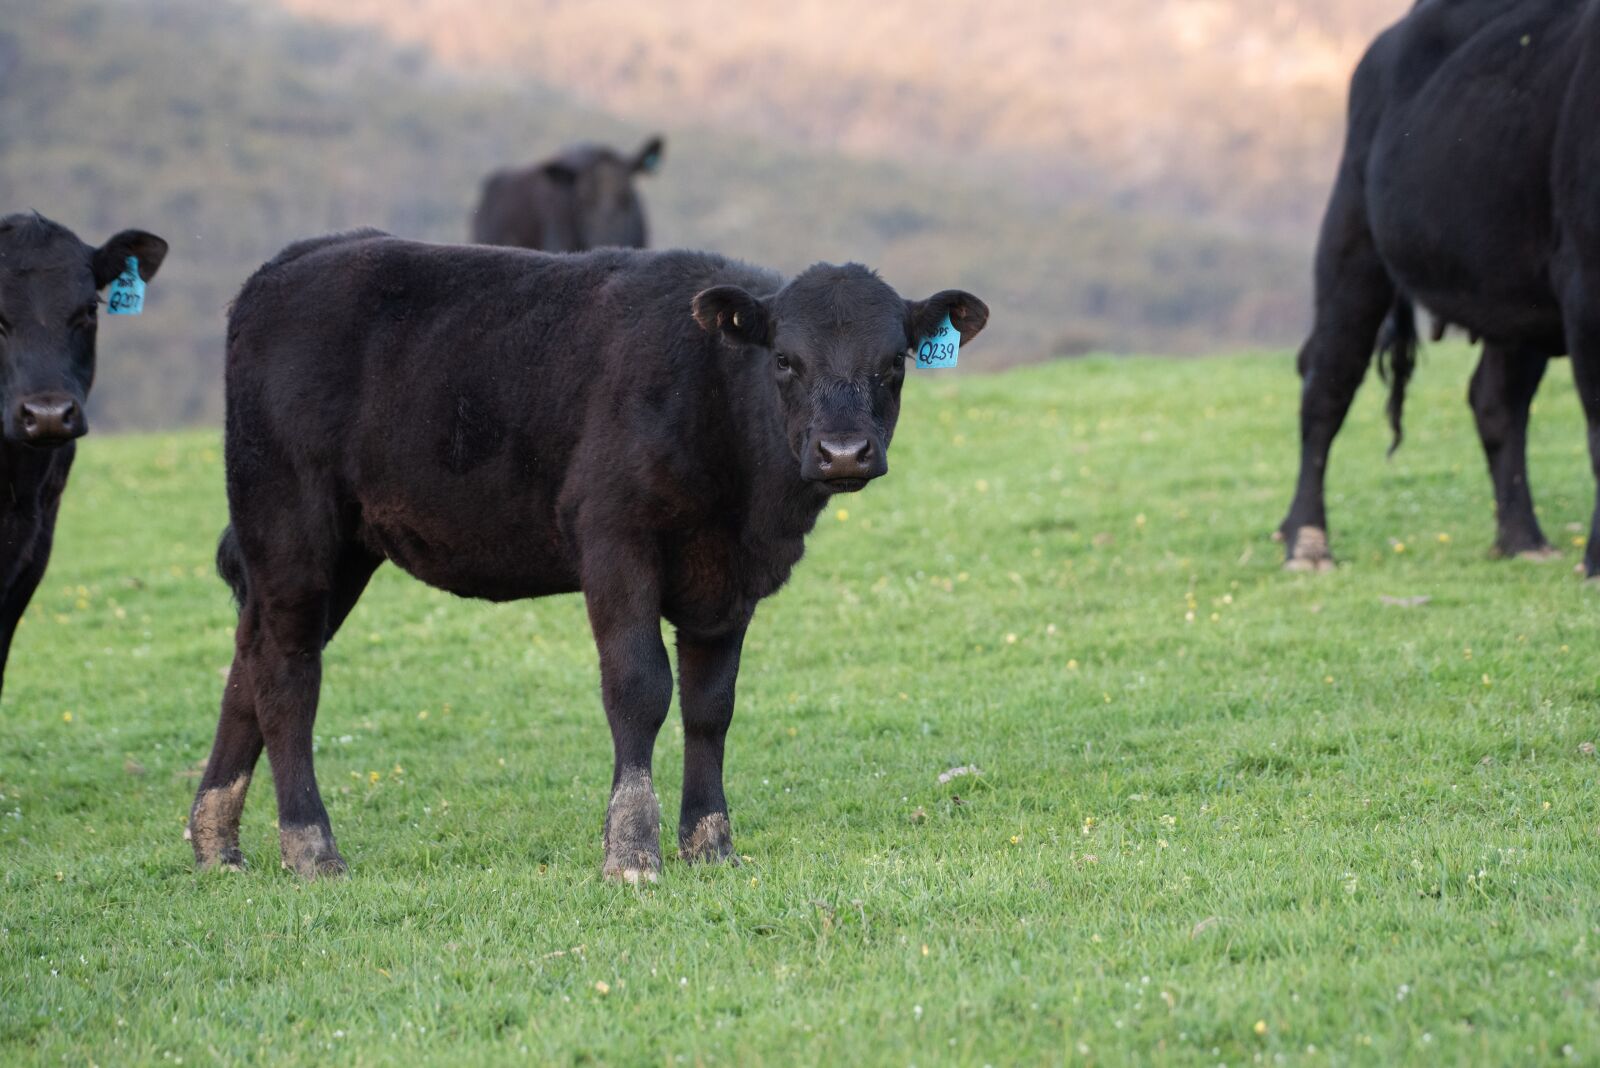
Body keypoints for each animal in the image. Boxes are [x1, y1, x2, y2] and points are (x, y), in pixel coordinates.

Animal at [188, 231, 987, 881]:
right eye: (786, 360)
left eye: (894, 362)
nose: (843, 452)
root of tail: (291, 262)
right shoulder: (614, 540)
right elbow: (640, 686)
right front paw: (631, 851)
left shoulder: (728, 580)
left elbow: (711, 705)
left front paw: (710, 843)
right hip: (290, 522)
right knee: (288, 672)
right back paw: (310, 846)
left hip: (341, 547)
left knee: (249, 659)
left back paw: (216, 842)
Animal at [1279, 0, 1600, 576]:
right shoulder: (1585, 281)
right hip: (1352, 240)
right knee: (1326, 384)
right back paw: (1308, 544)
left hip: (1513, 293)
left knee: (1496, 399)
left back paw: (1522, 539)